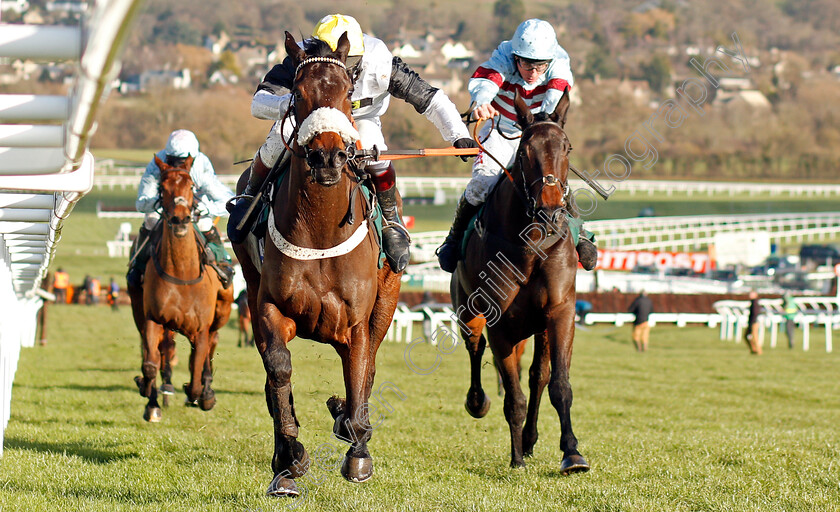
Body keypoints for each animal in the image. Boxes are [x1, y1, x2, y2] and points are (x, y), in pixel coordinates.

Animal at [128, 156, 233, 424]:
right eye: (162, 188)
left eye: (191, 186)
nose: (180, 219)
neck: (182, 273)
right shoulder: (153, 319)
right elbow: (150, 364)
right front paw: (149, 396)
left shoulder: (201, 329)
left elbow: (195, 376)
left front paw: (201, 393)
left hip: (221, 313)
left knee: (211, 347)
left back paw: (206, 391)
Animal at [230, 33, 400, 496]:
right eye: (299, 93)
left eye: (346, 93)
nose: (327, 158)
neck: (321, 233)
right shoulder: (271, 308)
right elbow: (279, 370)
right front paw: (290, 457)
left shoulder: (357, 322)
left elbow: (360, 374)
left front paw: (357, 450)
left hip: (386, 302)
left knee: (369, 366)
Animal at [452, 90, 592, 474]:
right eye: (526, 151)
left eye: (566, 148)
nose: (550, 212)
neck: (531, 243)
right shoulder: (499, 322)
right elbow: (513, 397)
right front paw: (515, 461)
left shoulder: (560, 311)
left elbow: (558, 384)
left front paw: (572, 453)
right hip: (469, 311)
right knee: (475, 348)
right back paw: (478, 403)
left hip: (536, 327)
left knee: (537, 375)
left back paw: (529, 440)